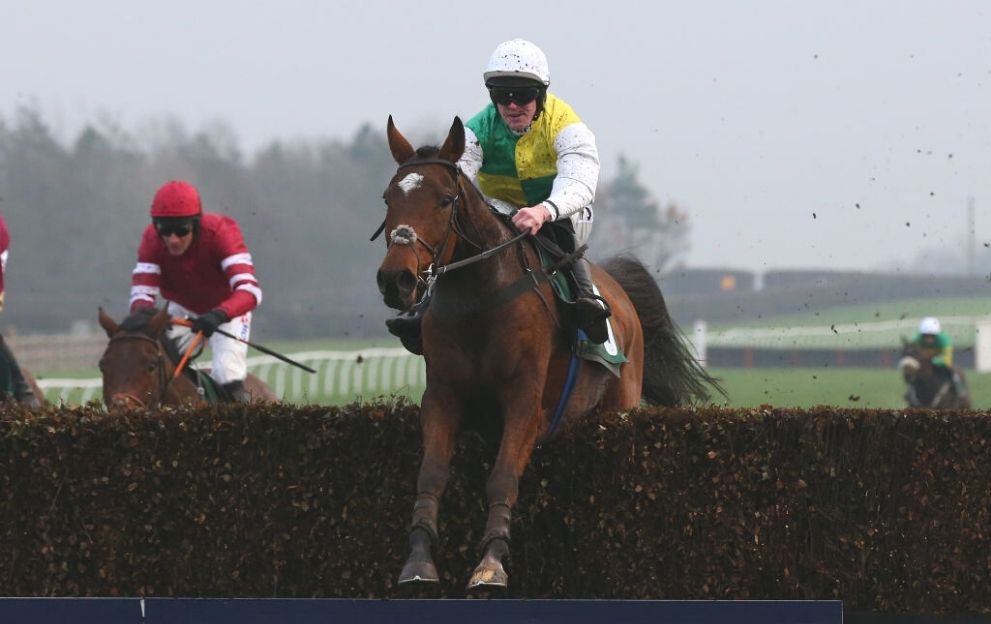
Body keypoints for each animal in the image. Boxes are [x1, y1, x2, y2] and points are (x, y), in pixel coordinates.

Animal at [376, 116, 724, 588]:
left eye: (445, 200)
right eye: (388, 197)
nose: (396, 280)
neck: (479, 302)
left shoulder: (525, 398)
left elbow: (503, 477)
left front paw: (491, 563)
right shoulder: (442, 394)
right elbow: (430, 474)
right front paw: (418, 561)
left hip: (620, 405)